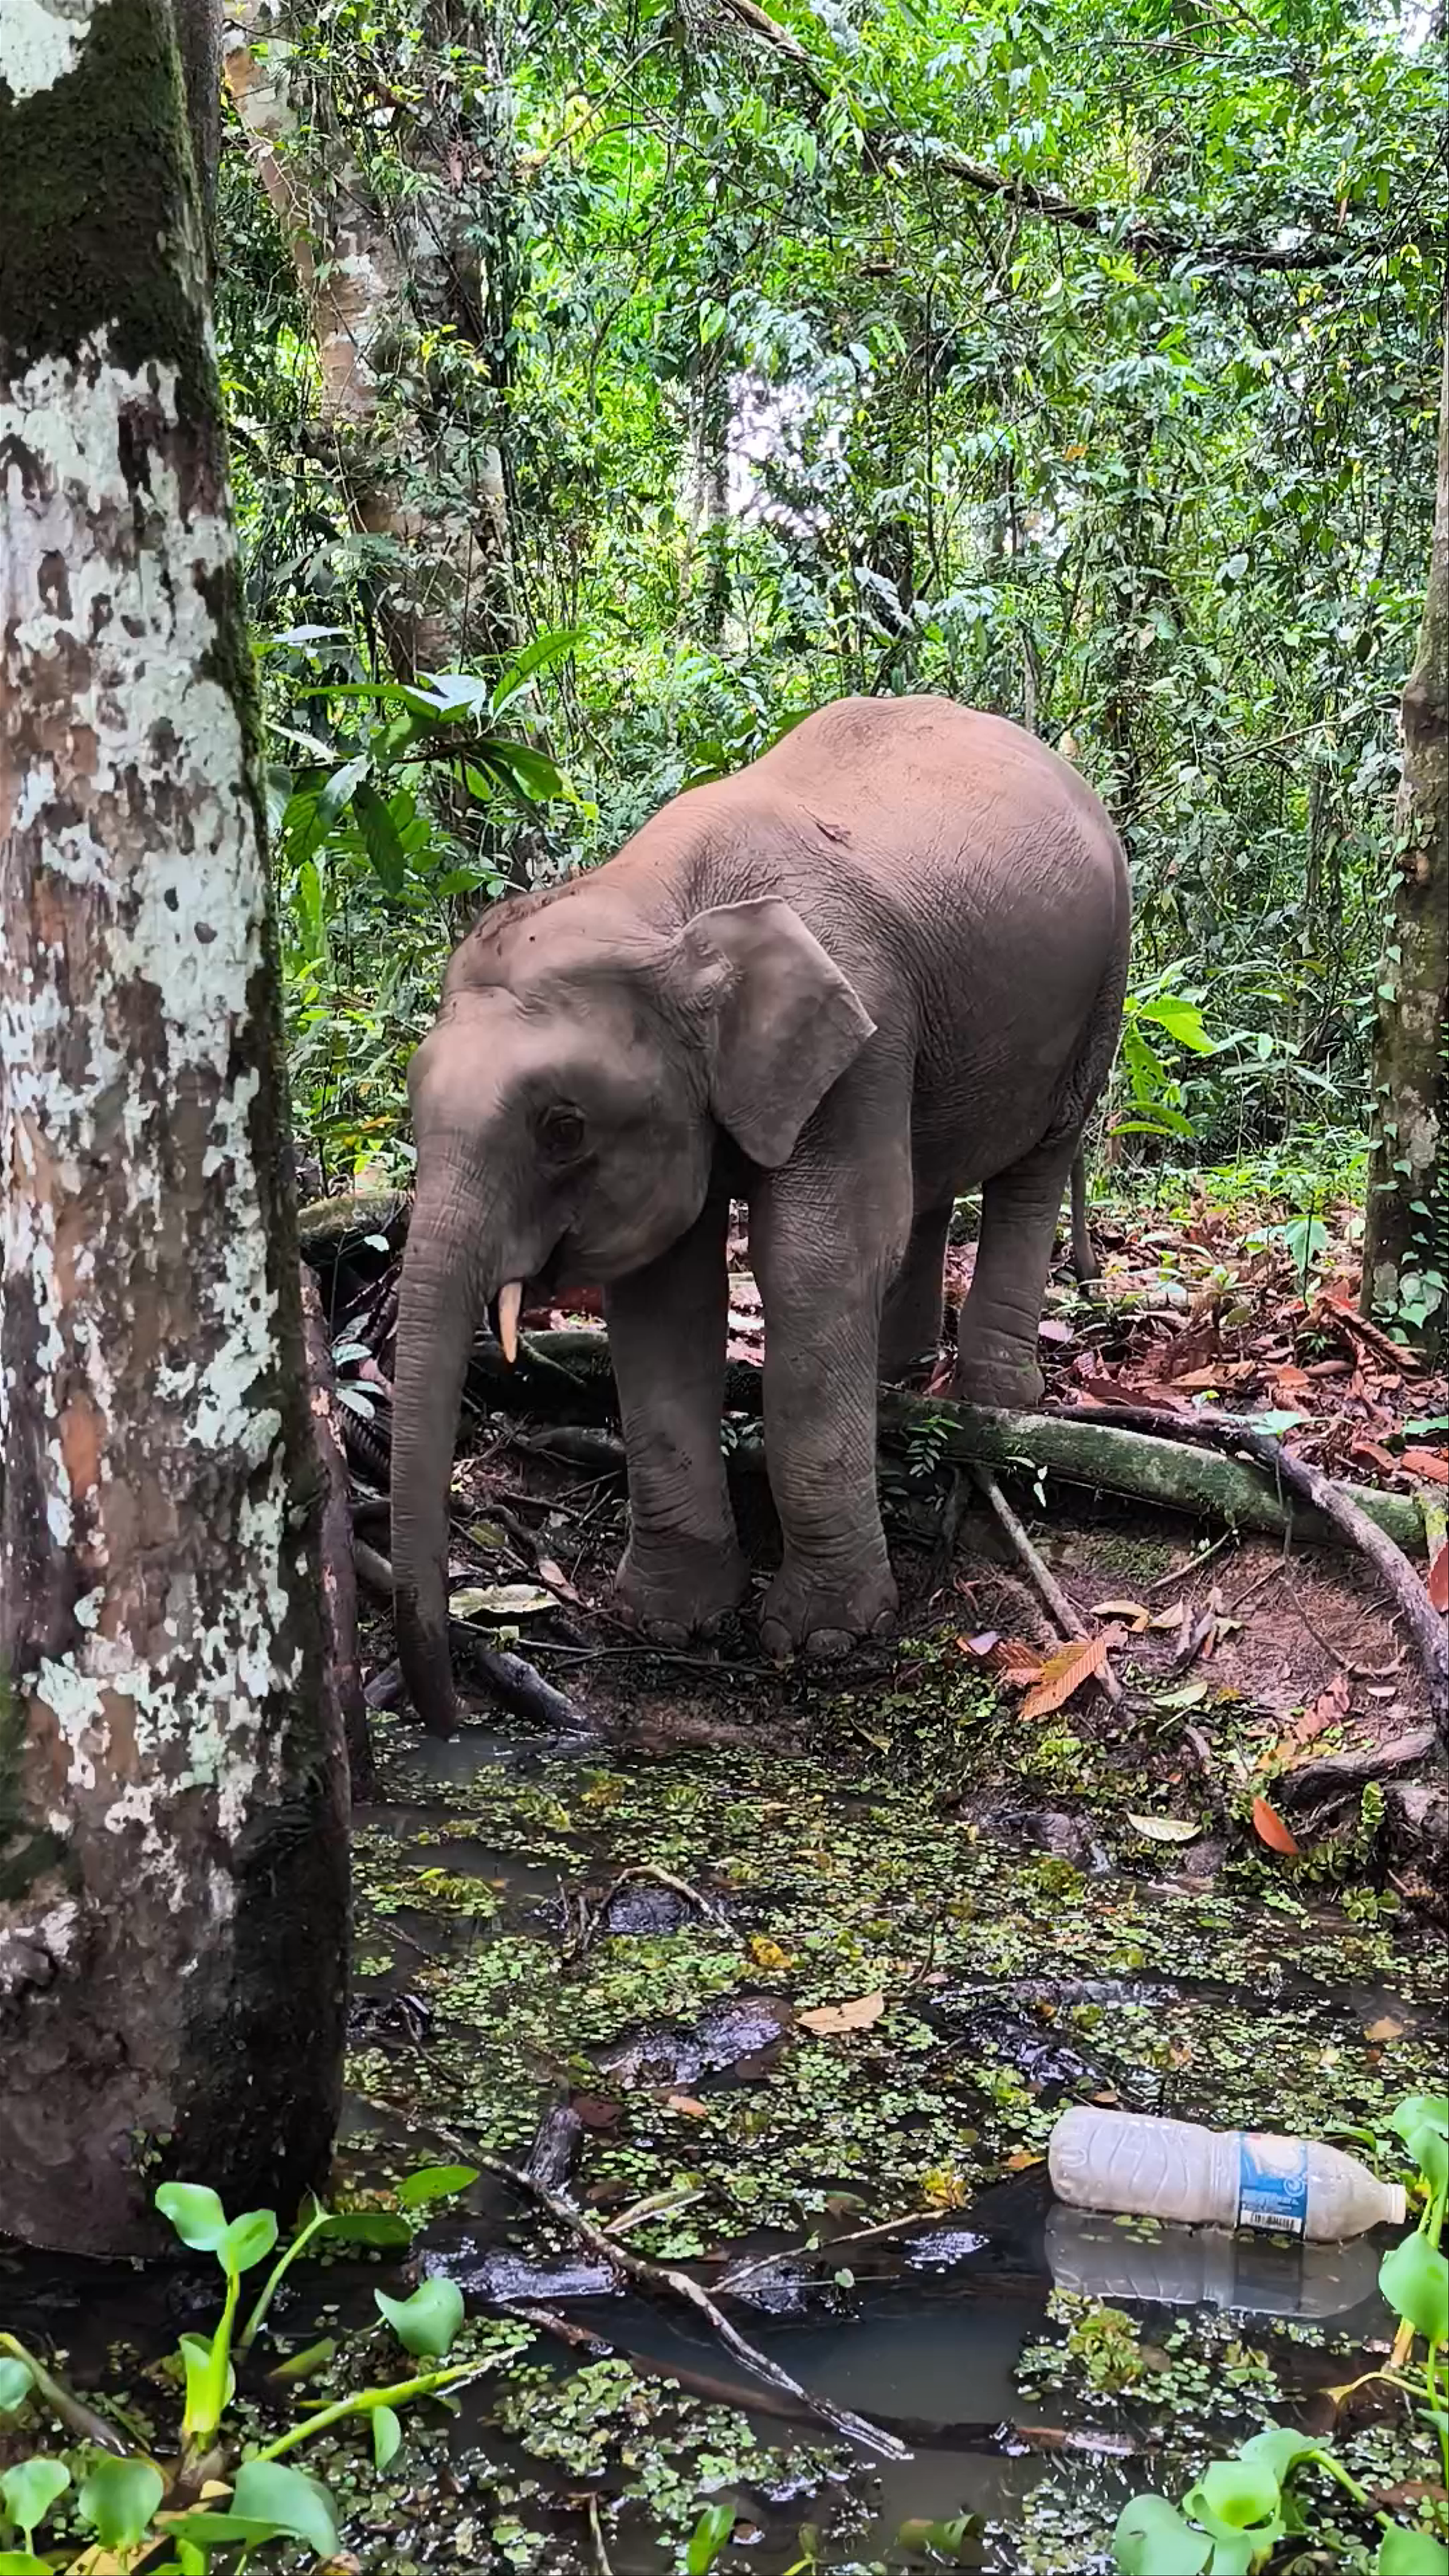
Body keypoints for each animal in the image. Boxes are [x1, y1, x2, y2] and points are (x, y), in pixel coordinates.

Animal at [391, 694, 1130, 1734]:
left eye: (562, 1128)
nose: (452, 1709)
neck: (663, 908)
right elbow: (664, 1294)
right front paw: (671, 1623)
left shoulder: (863, 1035)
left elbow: (816, 1262)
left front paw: (827, 1640)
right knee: (932, 1176)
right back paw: (900, 1370)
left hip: (1100, 987)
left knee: (1036, 1162)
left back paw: (998, 1399)